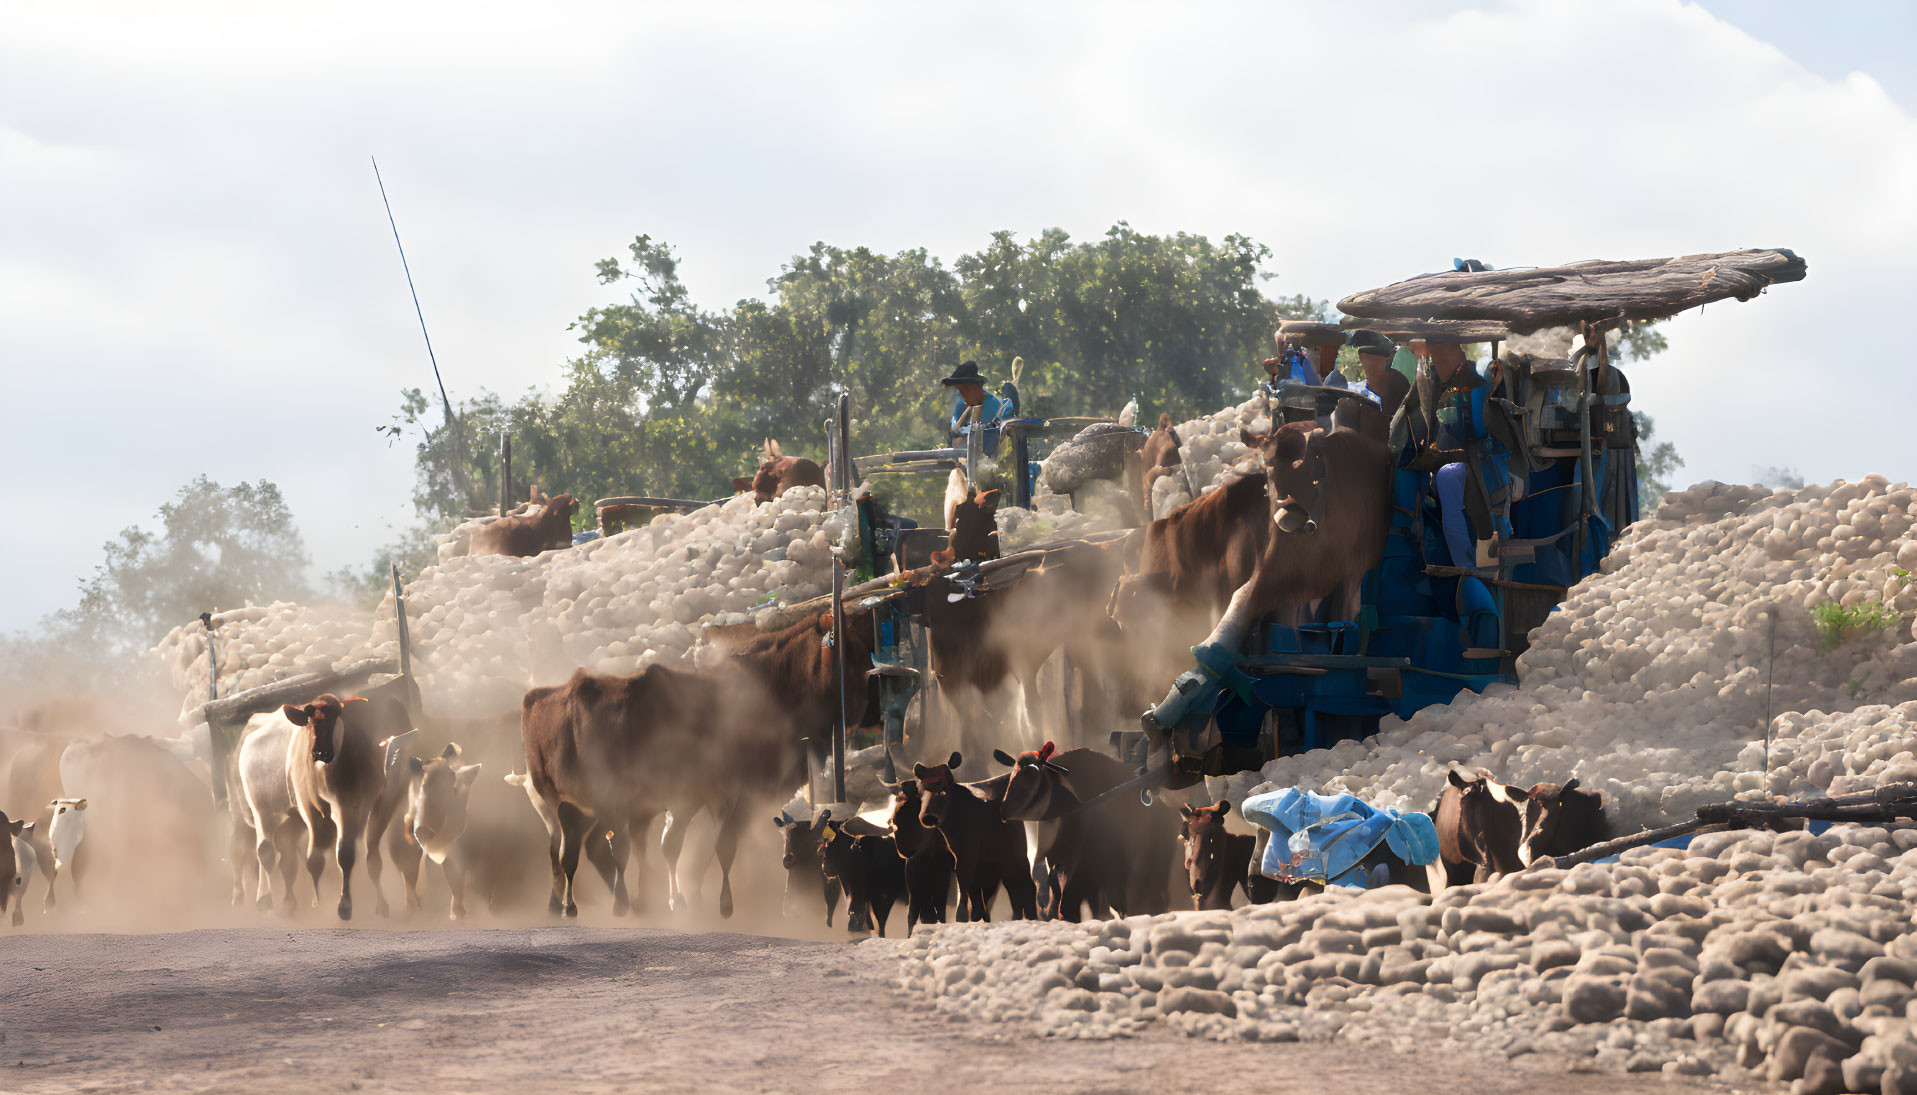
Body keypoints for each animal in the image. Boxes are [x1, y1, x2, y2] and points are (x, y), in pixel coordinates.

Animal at [912, 751, 1035, 920]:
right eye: (921, 792)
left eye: (943, 791)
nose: (927, 817)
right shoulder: (965, 857)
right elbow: (973, 892)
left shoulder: (968, 854)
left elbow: (965, 885)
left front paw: (961, 917)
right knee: (1010, 890)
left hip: (1016, 853)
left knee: (1025, 885)